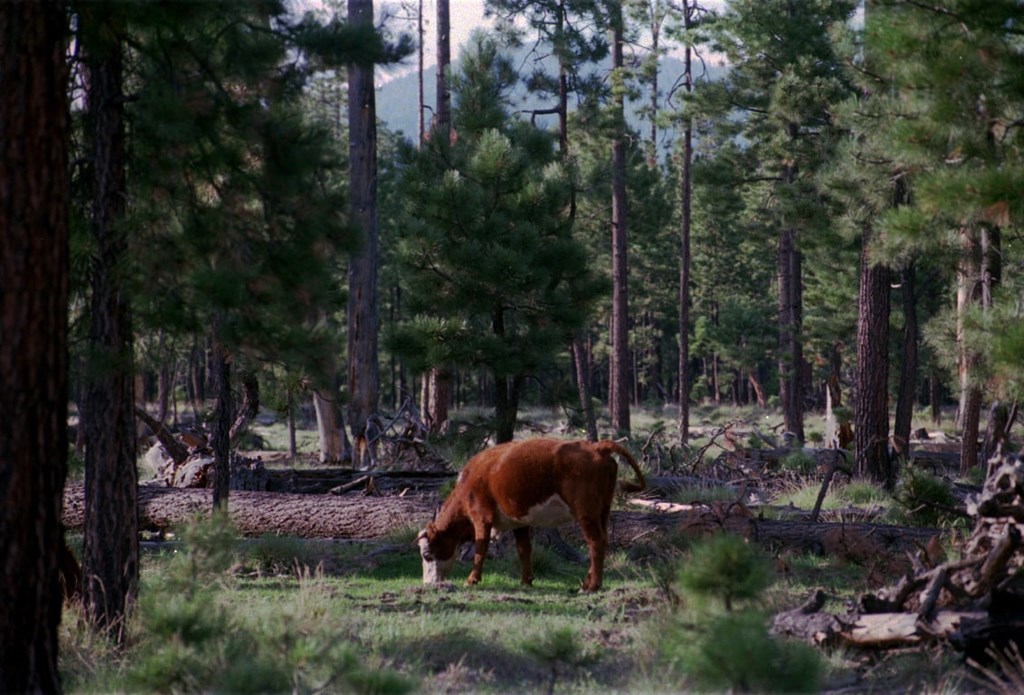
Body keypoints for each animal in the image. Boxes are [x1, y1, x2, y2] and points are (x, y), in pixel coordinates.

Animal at [413, 438, 638, 589]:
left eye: (426, 554)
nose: (427, 584)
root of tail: (596, 446)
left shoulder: (481, 517)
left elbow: (480, 549)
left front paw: (472, 579)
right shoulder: (519, 522)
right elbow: (524, 550)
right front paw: (526, 581)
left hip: (586, 512)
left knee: (595, 542)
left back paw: (592, 586)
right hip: (603, 511)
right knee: (602, 540)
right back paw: (587, 582)